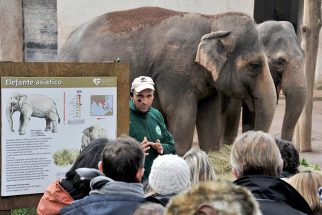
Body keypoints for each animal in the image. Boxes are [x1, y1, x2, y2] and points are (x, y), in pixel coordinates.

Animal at [58, 6, 276, 155]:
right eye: (255, 65)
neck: (213, 21)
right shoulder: (175, 74)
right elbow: (183, 114)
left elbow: (209, 115)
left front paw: (210, 155)